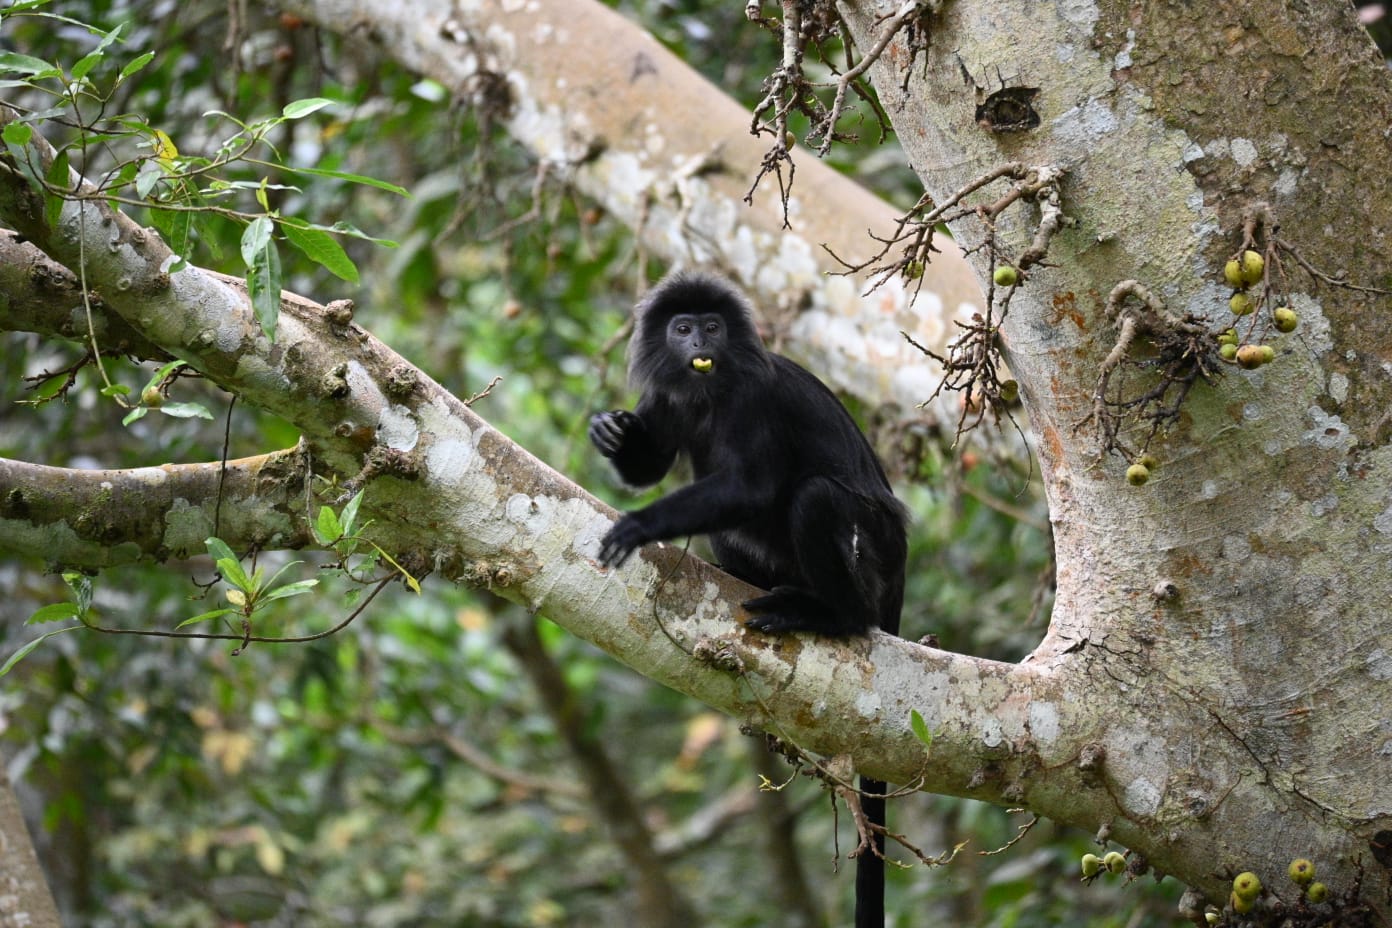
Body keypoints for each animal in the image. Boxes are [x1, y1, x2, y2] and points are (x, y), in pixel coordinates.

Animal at [589, 271, 907, 927]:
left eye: (713, 327)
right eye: (682, 327)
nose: (698, 345)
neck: (710, 390)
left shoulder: (753, 398)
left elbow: (752, 486)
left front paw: (638, 525)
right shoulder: (670, 394)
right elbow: (654, 463)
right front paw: (610, 432)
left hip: (876, 555)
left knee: (815, 500)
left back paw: (827, 613)